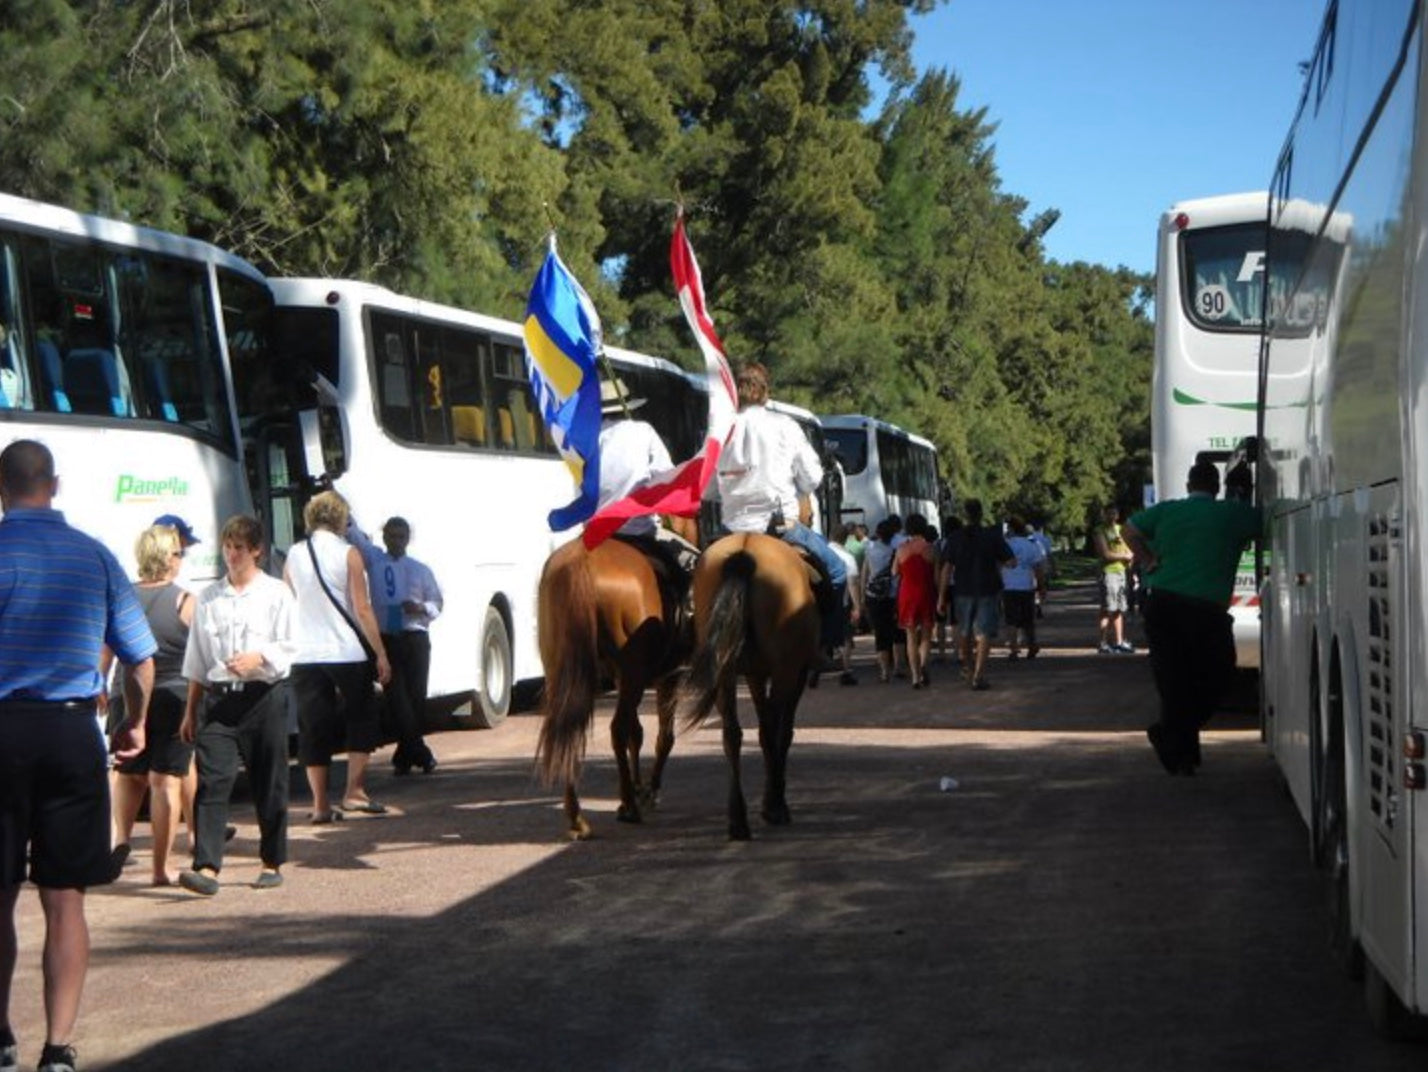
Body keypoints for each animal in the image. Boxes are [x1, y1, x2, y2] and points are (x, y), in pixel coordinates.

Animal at [536, 533, 691, 845]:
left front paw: (636, 788)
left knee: (569, 731)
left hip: (561, 673)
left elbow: (637, 733)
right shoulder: (668, 677)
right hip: (633, 674)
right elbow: (662, 738)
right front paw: (647, 792)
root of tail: (582, 561)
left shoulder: (626, 680)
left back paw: (577, 818)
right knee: (617, 729)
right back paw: (630, 808)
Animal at [682, 533, 822, 845]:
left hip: (724, 671)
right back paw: (774, 806)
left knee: (732, 735)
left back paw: (738, 820)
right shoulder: (795, 673)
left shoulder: (756, 675)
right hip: (784, 671)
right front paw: (774, 801)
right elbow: (781, 732)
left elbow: (762, 729)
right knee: (775, 731)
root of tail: (744, 552)